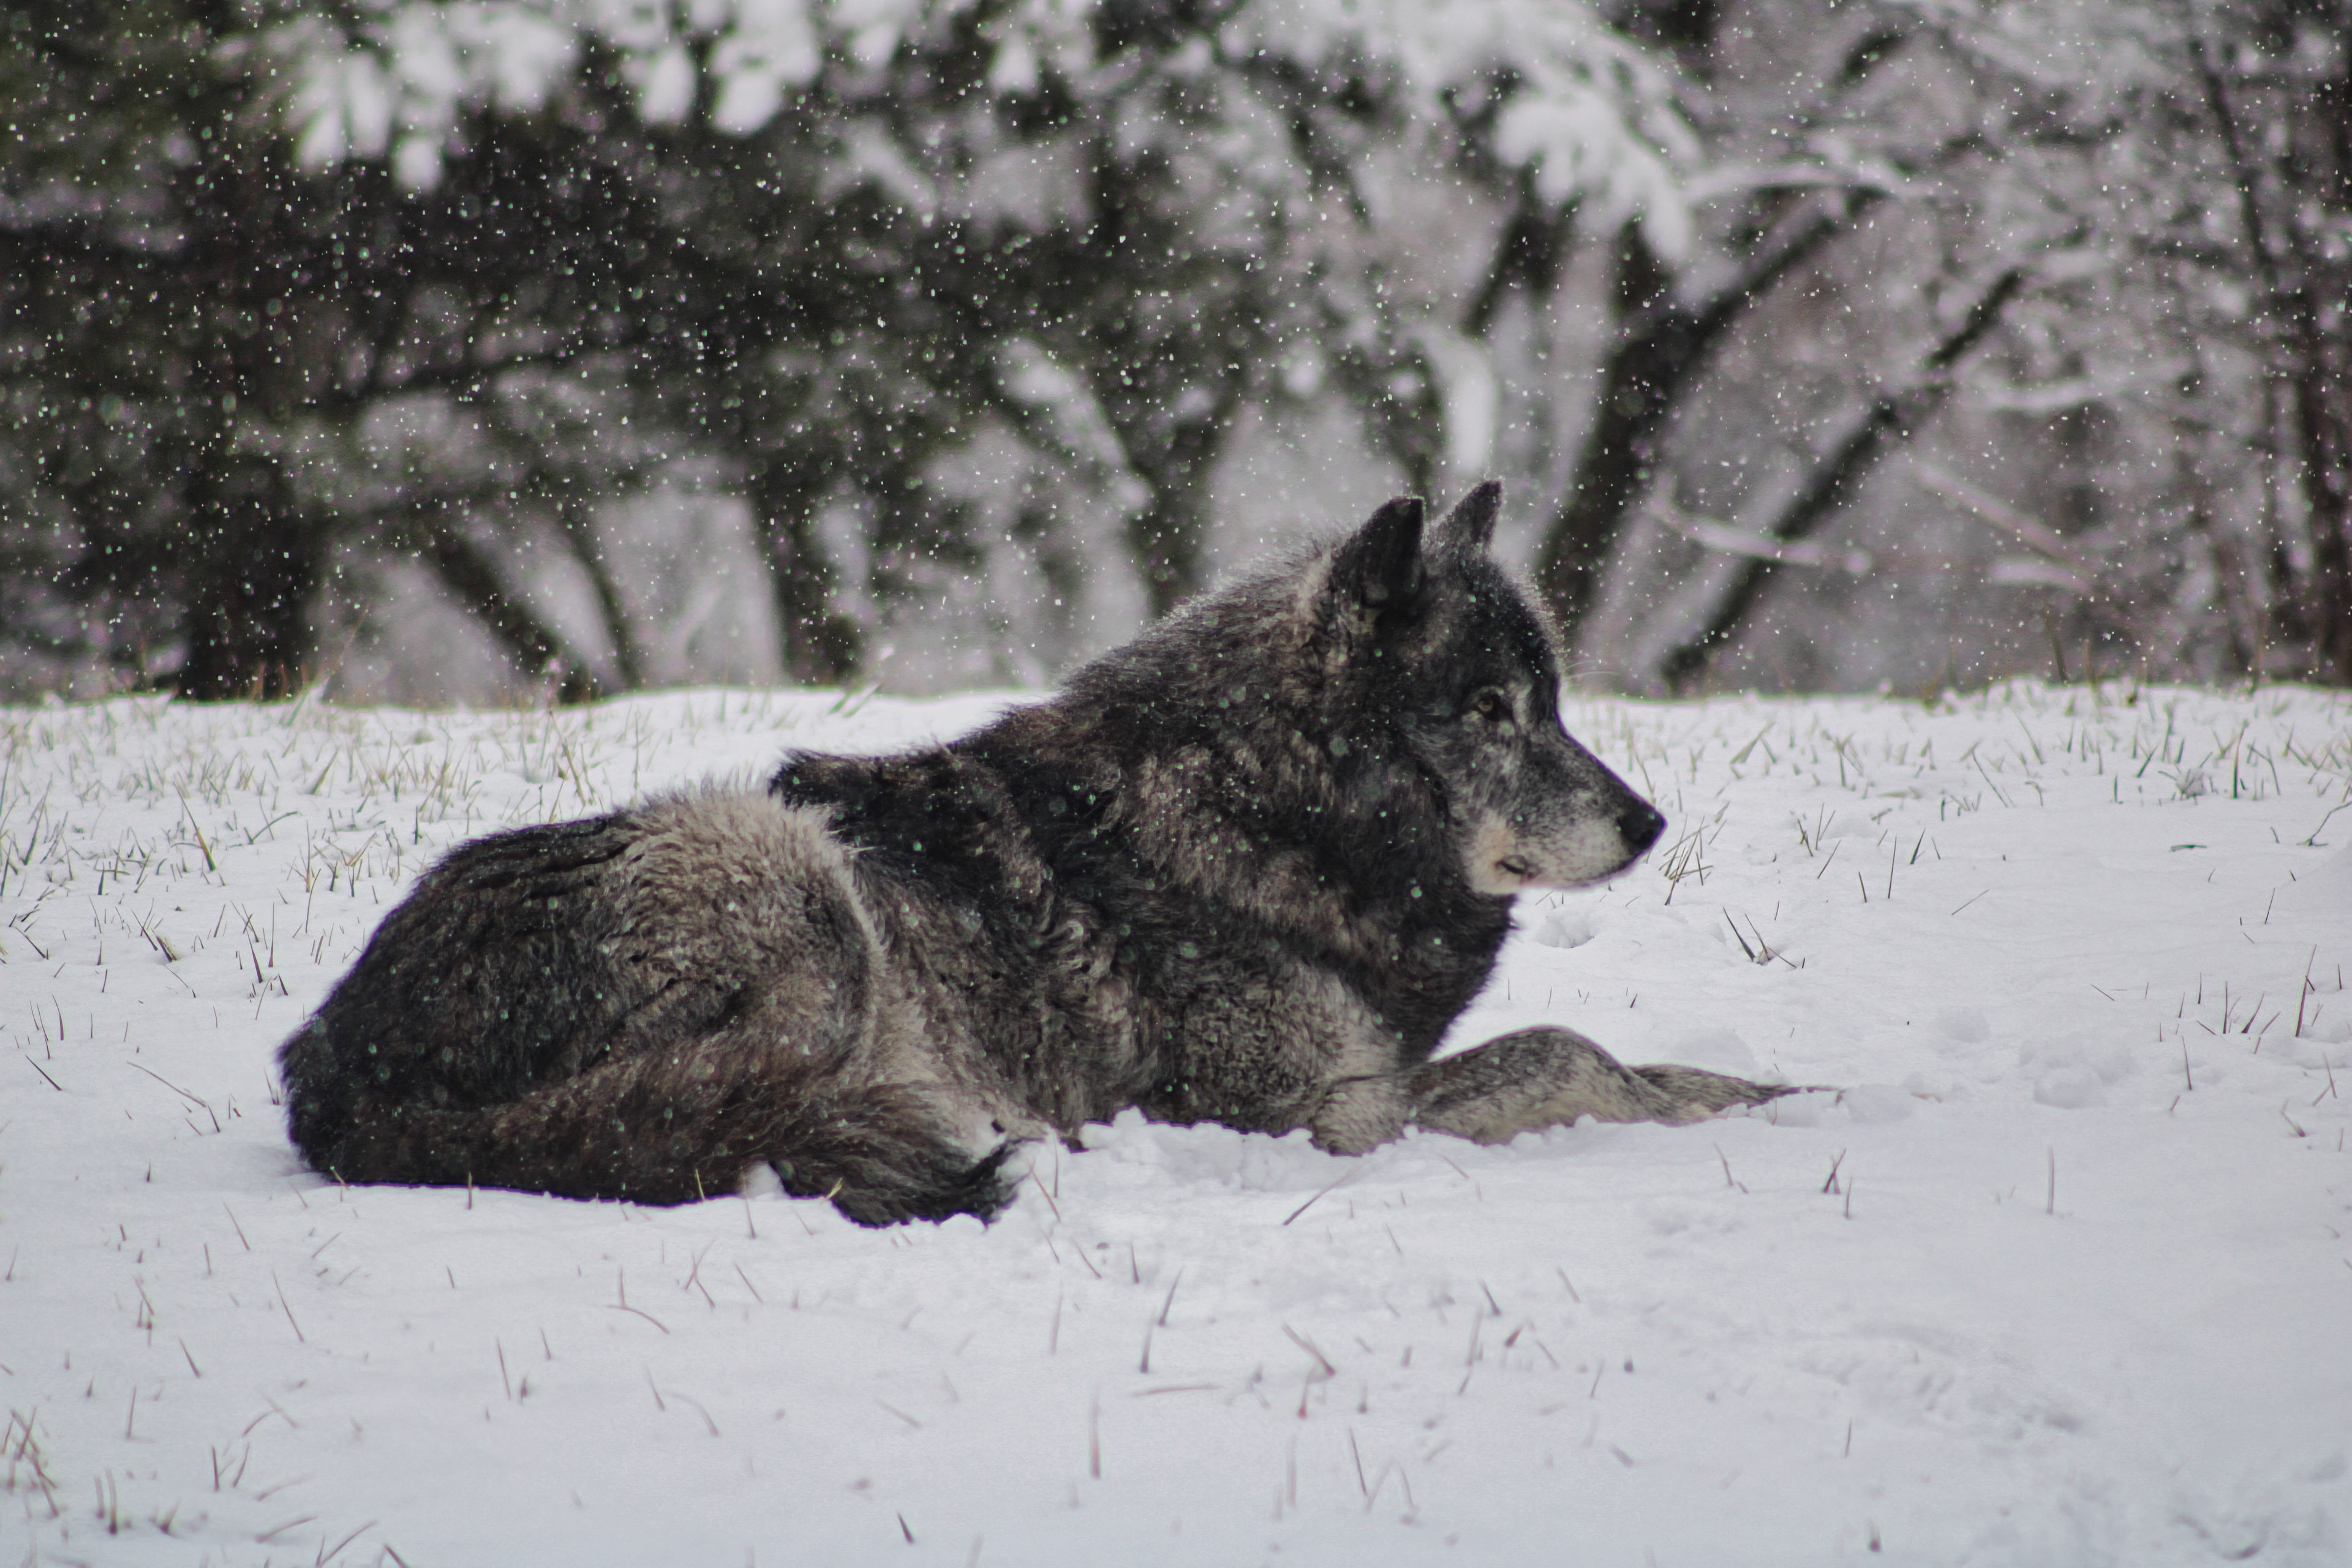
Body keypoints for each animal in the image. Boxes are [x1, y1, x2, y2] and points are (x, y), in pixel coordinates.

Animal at [280, 484, 1788, 1224]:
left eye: (1555, 702)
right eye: (1489, 711)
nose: (1647, 823)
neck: (1261, 815)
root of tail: (327, 1074)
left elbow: (1654, 1063)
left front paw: (1772, 1097)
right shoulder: (1313, 1117)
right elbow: (1568, 1051)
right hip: (790, 876)